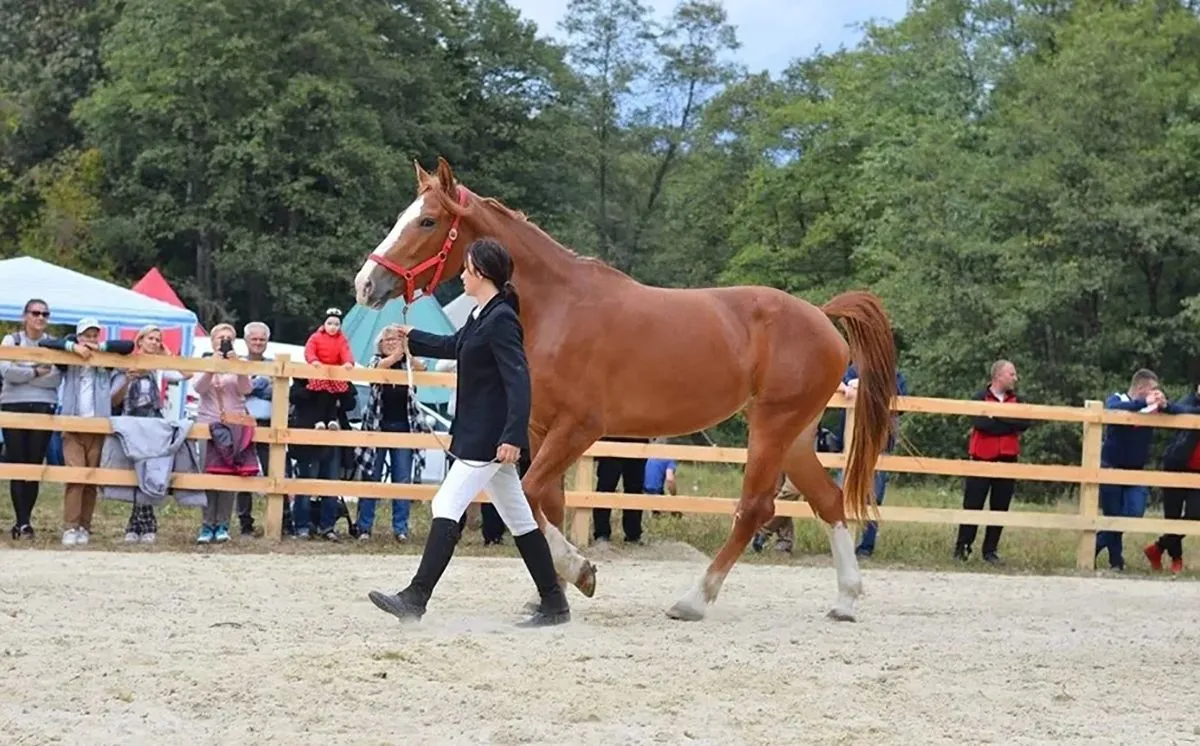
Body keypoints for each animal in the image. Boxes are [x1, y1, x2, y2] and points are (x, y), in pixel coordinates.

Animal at [350, 159, 897, 623]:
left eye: (427, 222)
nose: (365, 284)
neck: (555, 308)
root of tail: (822, 317)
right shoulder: (538, 428)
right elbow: (547, 505)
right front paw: (553, 591)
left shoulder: (579, 427)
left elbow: (532, 495)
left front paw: (581, 572)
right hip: (797, 435)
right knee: (828, 501)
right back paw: (846, 600)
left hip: (771, 426)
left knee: (756, 509)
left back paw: (693, 601)